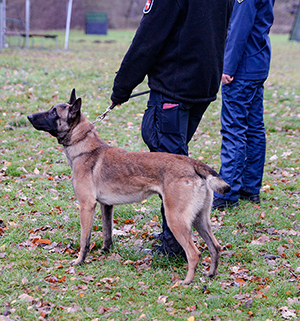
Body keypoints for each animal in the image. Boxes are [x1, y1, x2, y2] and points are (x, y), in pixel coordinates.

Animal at [28, 89, 230, 284]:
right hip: (199, 219)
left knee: (194, 253)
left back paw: (186, 282)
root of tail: (193, 163)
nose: (29, 116)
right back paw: (211, 275)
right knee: (215, 246)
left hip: (175, 219)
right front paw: (105, 252)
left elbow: (84, 239)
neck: (86, 147)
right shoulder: (106, 206)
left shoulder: (86, 206)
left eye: (54, 112)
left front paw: (79, 261)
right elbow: (107, 233)